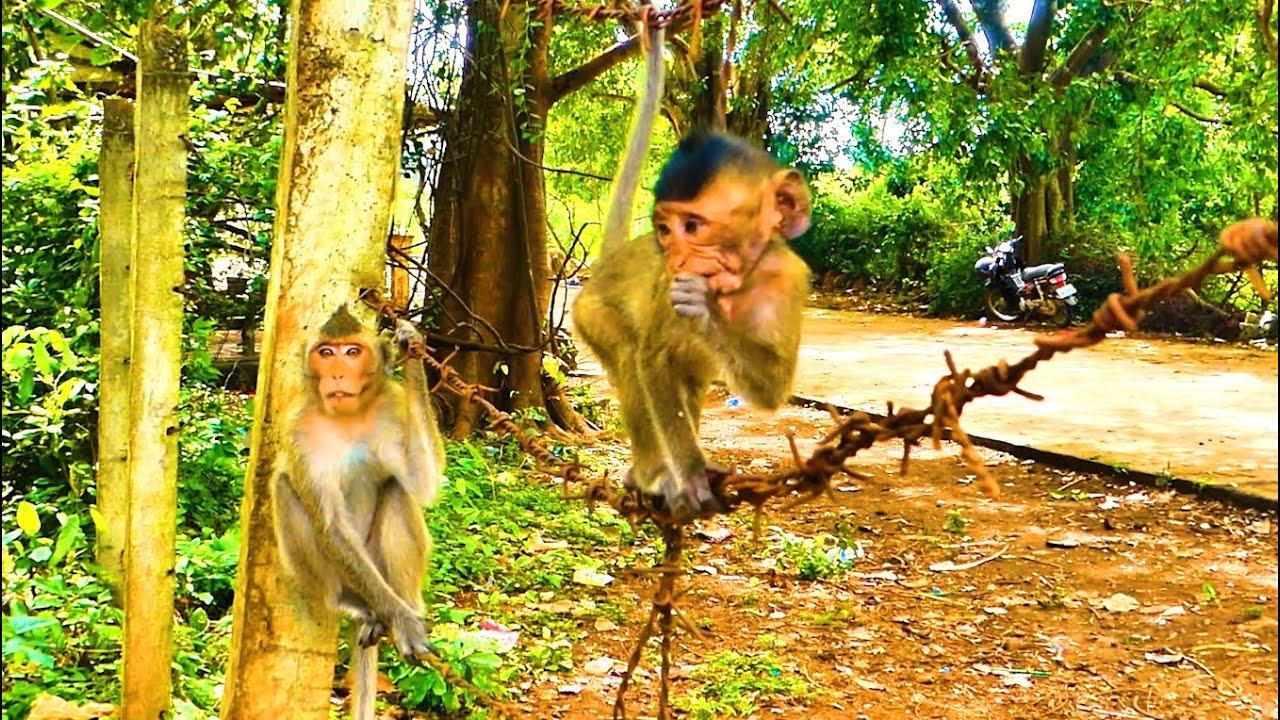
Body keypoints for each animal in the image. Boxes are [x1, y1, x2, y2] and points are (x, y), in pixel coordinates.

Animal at [272, 304, 444, 720]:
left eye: (352, 352)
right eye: (326, 353)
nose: (336, 374)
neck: (348, 417)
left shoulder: (393, 408)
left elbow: (423, 483)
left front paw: (410, 348)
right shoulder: (298, 429)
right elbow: (331, 525)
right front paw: (402, 623)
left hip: (380, 569)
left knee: (396, 490)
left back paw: (408, 604)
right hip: (353, 577)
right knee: (284, 487)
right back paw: (354, 606)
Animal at [572, 22, 813, 523]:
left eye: (695, 227)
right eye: (665, 229)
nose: (678, 261)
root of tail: (610, 261)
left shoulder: (789, 278)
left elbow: (772, 391)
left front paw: (704, 309)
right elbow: (650, 359)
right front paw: (692, 476)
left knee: (691, 376)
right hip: (590, 311)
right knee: (630, 353)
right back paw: (652, 475)